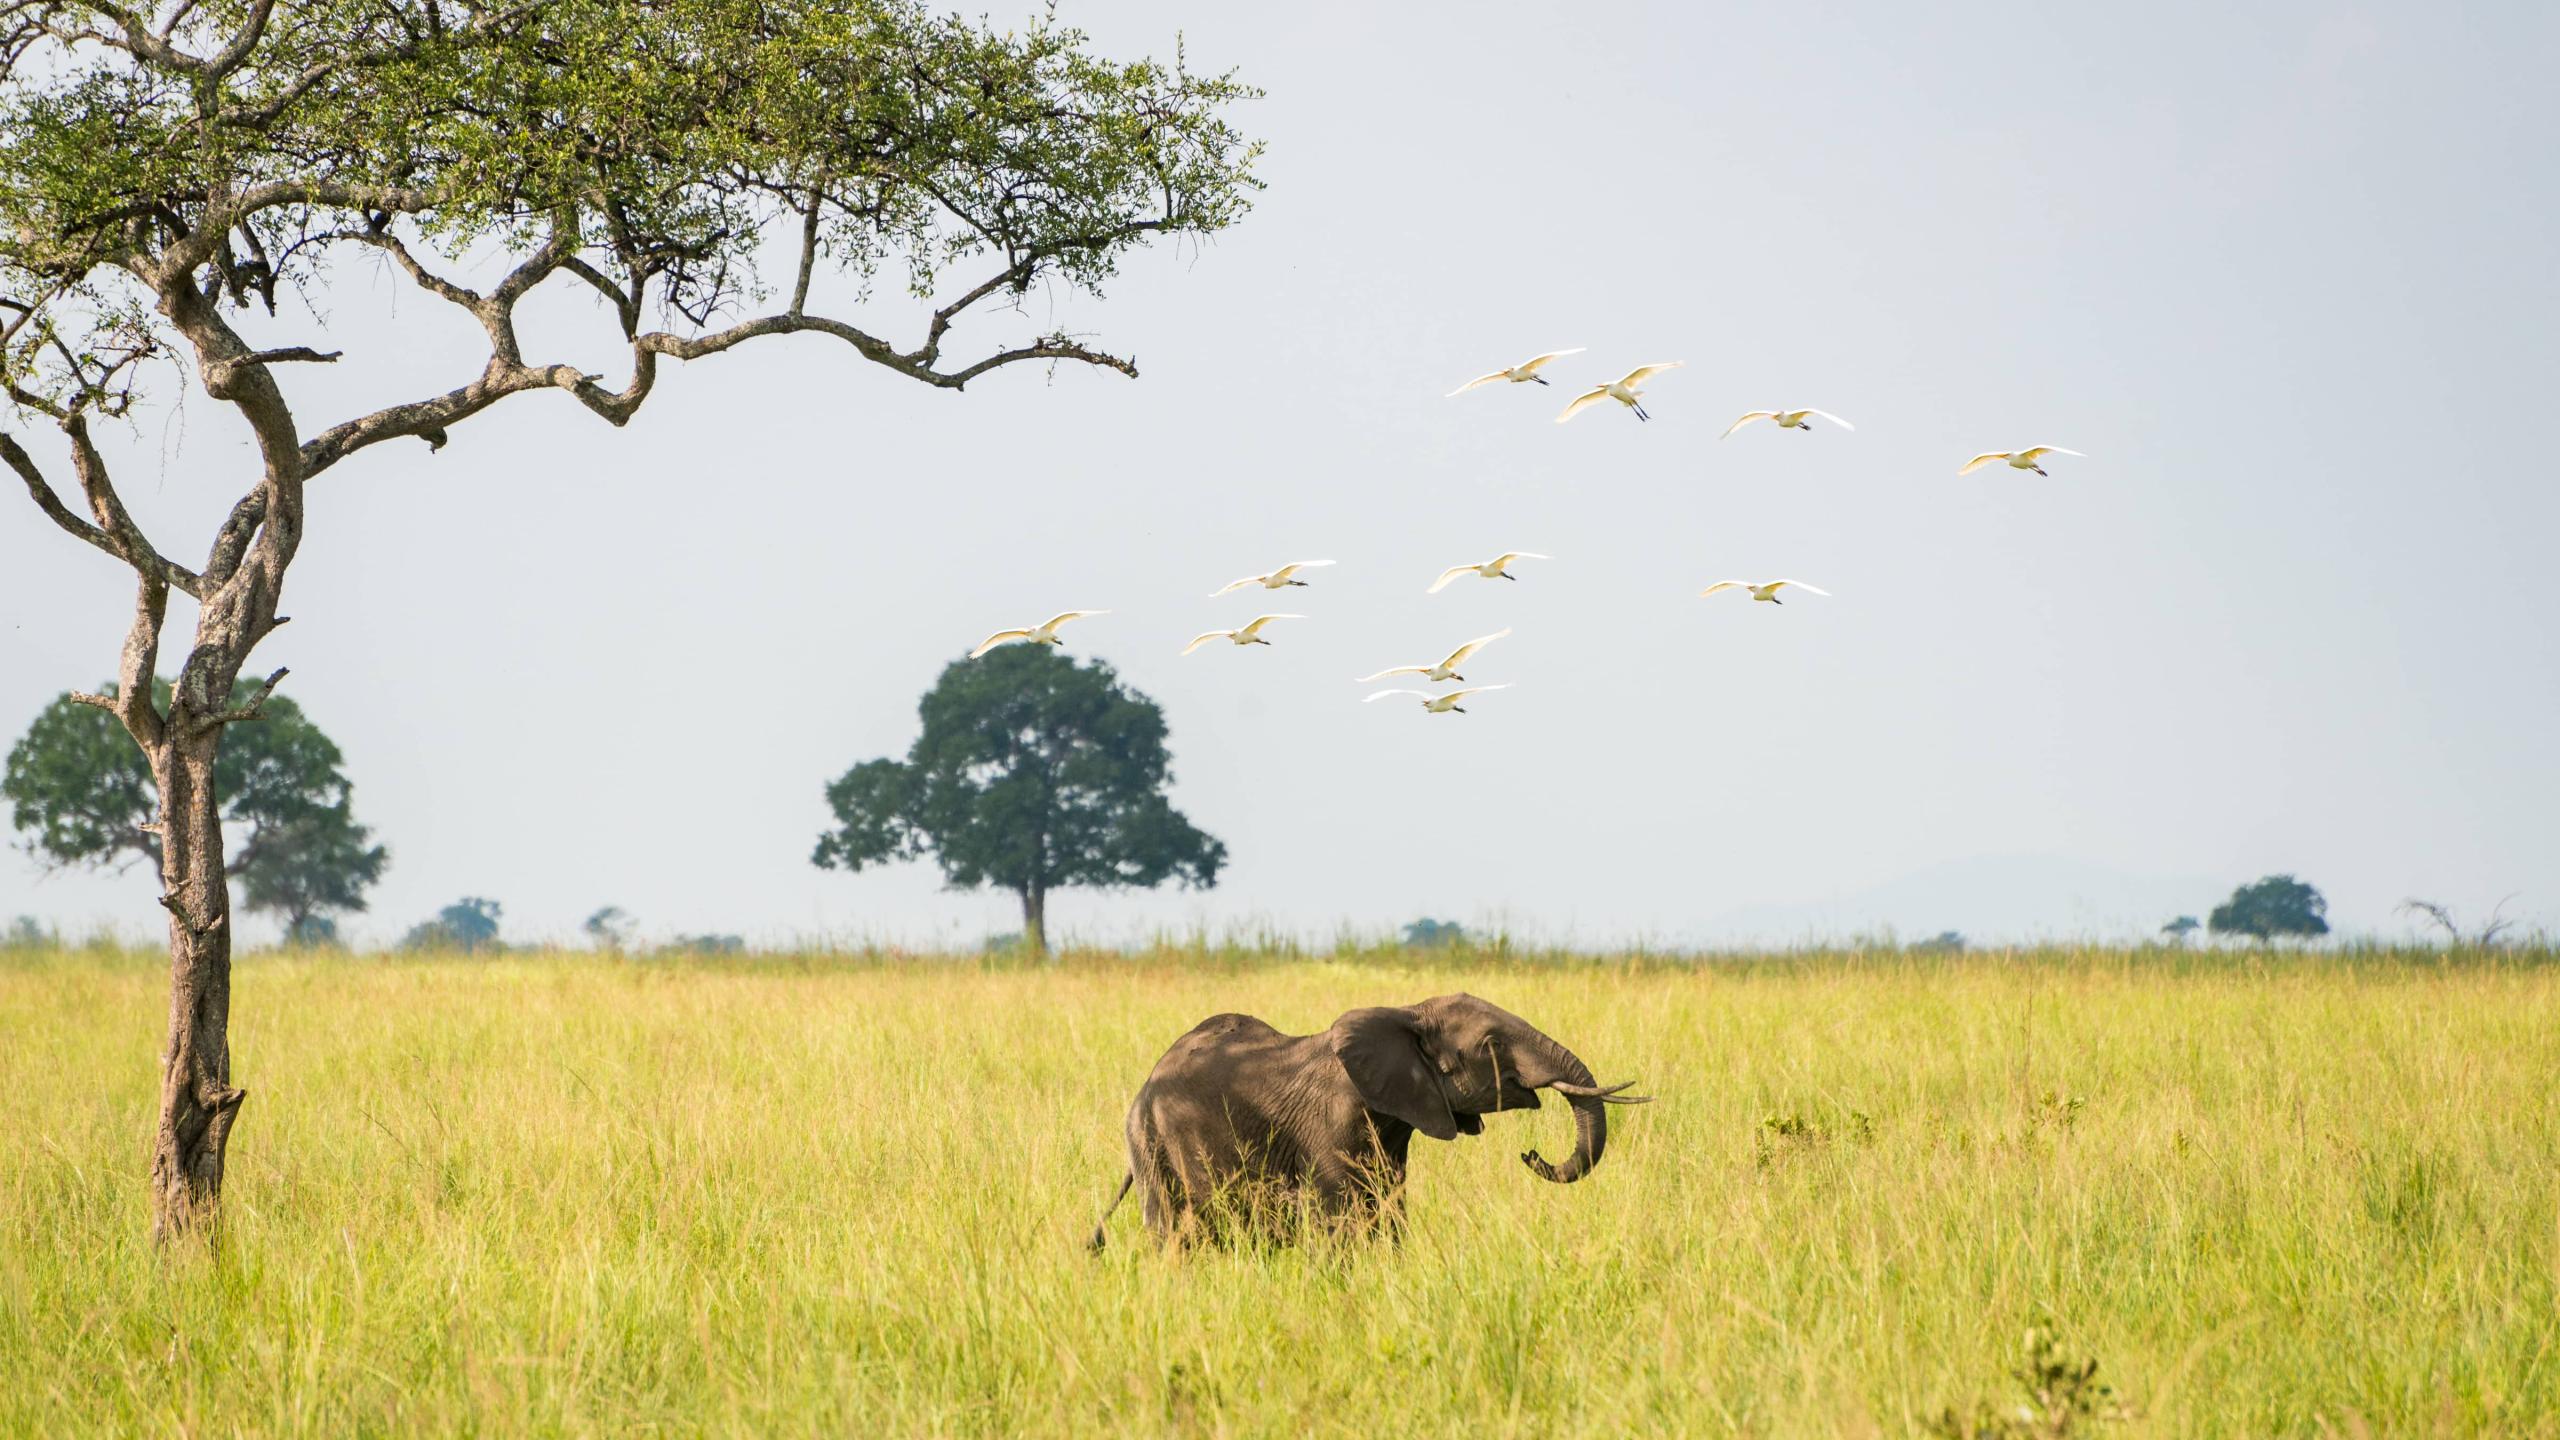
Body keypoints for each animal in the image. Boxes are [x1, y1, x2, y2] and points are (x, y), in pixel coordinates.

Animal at [1091, 993, 1649, 1247]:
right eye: (1491, 1045)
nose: (1531, 1155)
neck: (1407, 1012)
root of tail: (1144, 1087)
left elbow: (1389, 1205)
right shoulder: (1330, 1126)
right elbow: (1341, 1216)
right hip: (1153, 1145)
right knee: (1176, 1235)